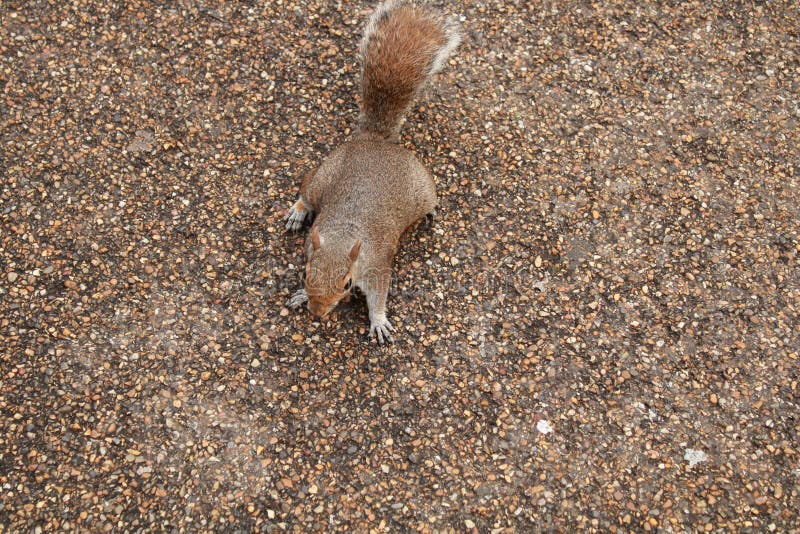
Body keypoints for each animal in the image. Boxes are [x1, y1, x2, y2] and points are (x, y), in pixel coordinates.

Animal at [285, 0, 462, 343]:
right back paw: (298, 211)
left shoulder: (378, 267)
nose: (317, 313)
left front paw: (378, 321)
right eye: (305, 272)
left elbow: (379, 296)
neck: (343, 237)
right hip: (325, 173)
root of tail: (375, 141)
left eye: (346, 284)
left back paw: (430, 212)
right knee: (307, 191)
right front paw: (300, 294)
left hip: (423, 188)